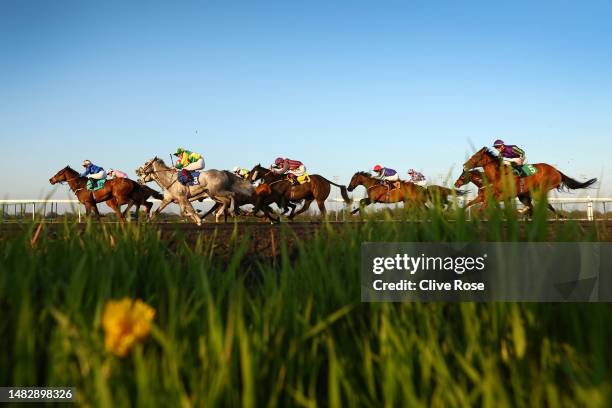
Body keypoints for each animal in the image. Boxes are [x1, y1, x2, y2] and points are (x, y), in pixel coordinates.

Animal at [460, 148, 596, 215]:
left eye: (476, 157)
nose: (464, 165)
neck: (498, 174)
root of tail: (557, 171)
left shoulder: (504, 195)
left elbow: (486, 205)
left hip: (541, 188)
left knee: (543, 204)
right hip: (527, 194)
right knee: (538, 205)